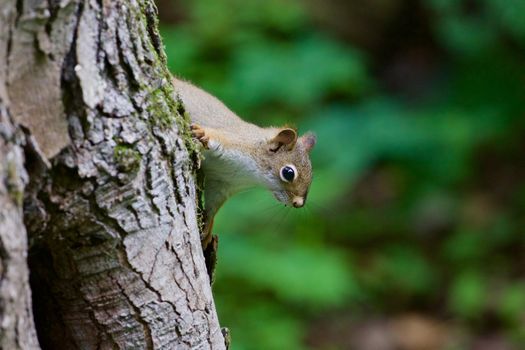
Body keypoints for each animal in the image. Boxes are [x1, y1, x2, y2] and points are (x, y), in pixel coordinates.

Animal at [174, 78, 318, 247]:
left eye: (312, 175)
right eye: (288, 173)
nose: (299, 203)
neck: (249, 174)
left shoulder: (223, 184)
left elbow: (213, 205)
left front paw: (208, 227)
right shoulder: (234, 142)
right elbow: (216, 136)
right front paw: (203, 133)